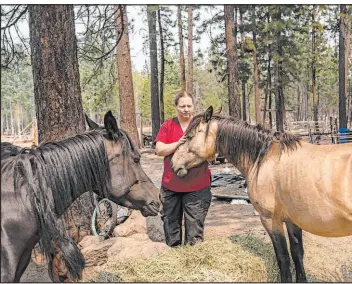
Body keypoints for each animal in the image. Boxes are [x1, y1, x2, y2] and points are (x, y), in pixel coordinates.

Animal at [170, 106, 350, 282]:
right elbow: (297, 254)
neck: (263, 158)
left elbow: (283, 258)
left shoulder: (270, 220)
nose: (173, 163)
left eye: (189, 136)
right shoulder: (292, 220)